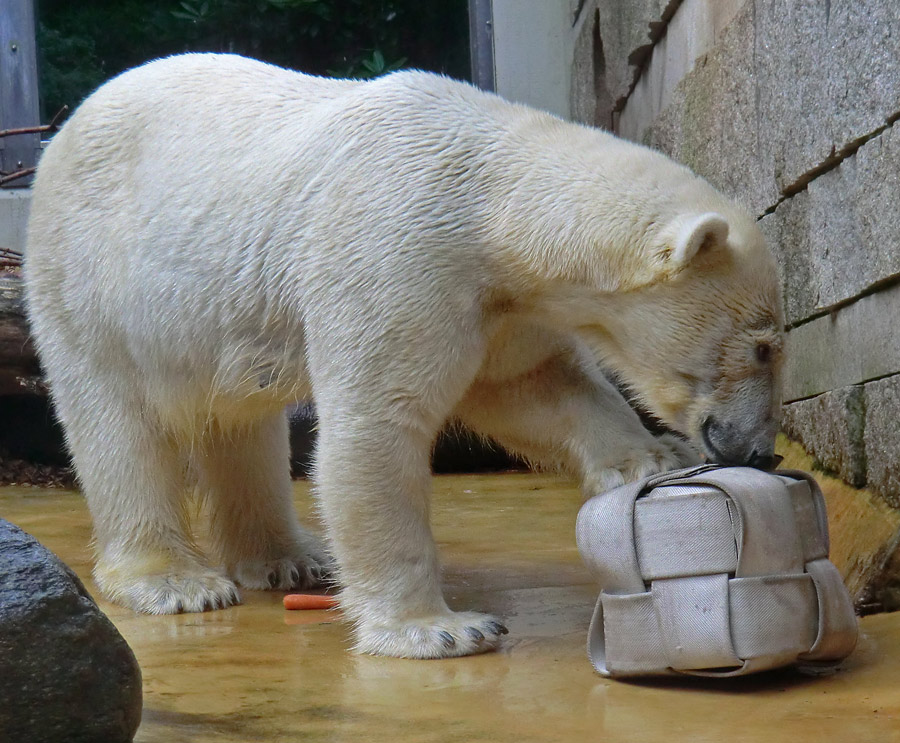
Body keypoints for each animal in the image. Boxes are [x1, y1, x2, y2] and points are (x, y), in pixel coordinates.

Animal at [24, 53, 784, 656]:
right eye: (766, 346)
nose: (758, 448)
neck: (489, 192)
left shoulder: (494, 300)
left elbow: (533, 386)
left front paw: (654, 457)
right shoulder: (397, 249)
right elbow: (377, 424)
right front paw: (440, 628)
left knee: (239, 420)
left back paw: (289, 558)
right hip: (87, 277)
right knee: (116, 422)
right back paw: (176, 581)